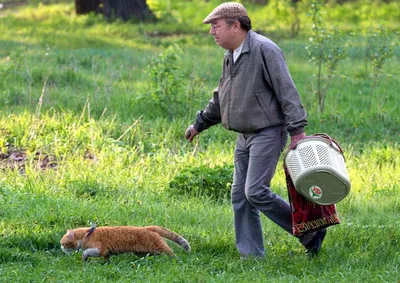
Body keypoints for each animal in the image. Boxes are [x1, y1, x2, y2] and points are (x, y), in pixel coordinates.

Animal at [59, 226, 191, 264]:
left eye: (64, 244)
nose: (61, 247)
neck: (87, 234)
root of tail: (148, 227)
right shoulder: (106, 253)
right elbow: (107, 259)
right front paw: (107, 265)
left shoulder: (99, 249)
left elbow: (85, 252)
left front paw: (84, 258)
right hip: (141, 252)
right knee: (149, 256)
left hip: (160, 248)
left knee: (171, 254)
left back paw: (177, 262)